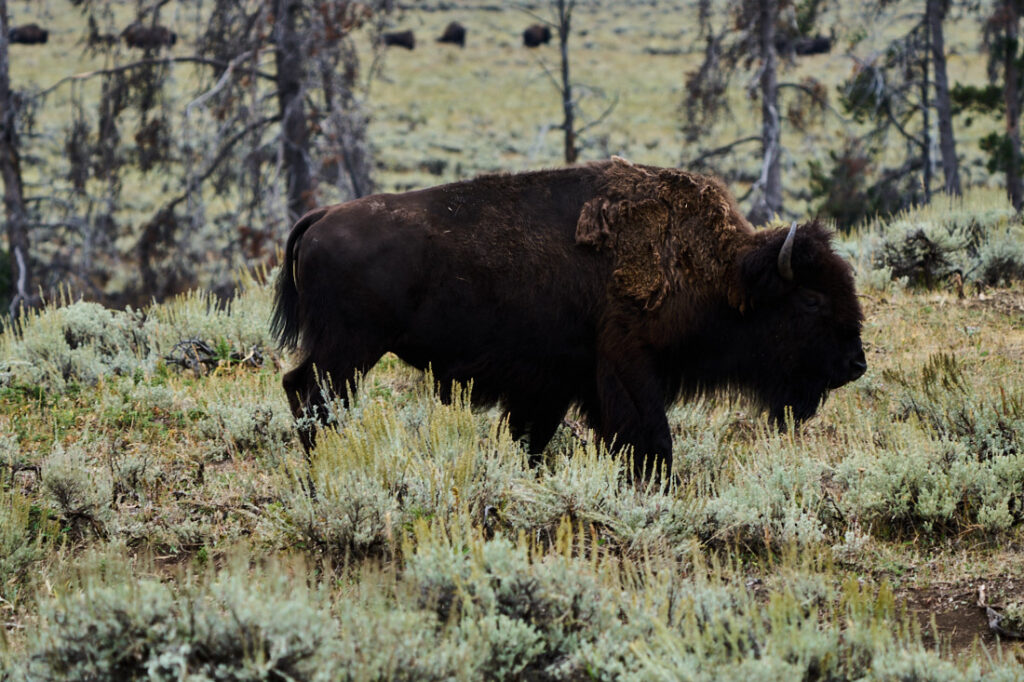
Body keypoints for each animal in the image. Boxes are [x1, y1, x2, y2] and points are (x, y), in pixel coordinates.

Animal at [272, 158, 866, 480]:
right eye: (812, 301)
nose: (855, 364)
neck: (720, 272)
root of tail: (322, 216)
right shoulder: (627, 365)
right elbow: (651, 439)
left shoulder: (555, 382)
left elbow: (533, 439)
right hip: (348, 351)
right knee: (308, 393)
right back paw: (325, 467)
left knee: (303, 391)